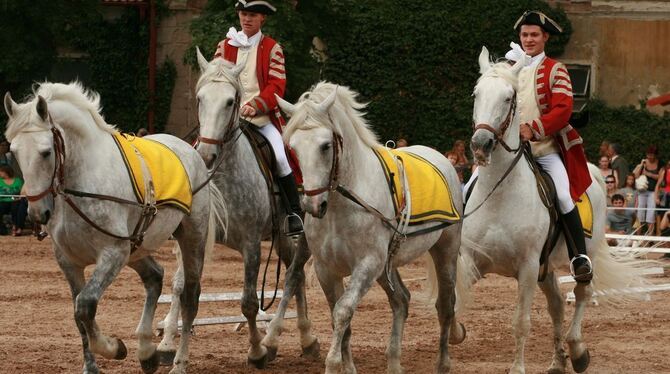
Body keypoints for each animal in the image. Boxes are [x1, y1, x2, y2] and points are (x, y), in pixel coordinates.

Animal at [2, 82, 223, 374]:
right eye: (14, 152)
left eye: (46, 152)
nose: (38, 214)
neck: (84, 182)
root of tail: (192, 152)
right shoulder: (69, 261)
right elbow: (78, 314)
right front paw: (92, 366)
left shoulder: (112, 253)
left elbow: (85, 305)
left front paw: (113, 348)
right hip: (136, 247)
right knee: (154, 277)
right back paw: (147, 352)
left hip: (190, 239)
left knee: (189, 298)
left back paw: (178, 363)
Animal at [280, 82, 464, 374]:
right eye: (293, 149)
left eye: (325, 146)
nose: (312, 205)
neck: (342, 207)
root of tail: (443, 160)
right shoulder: (326, 269)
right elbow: (339, 320)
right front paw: (347, 367)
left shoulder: (367, 263)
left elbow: (343, 312)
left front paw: (333, 364)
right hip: (388, 264)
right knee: (402, 300)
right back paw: (394, 363)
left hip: (445, 250)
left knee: (445, 305)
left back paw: (443, 363)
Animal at [454, 46, 652, 374]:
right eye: (476, 94)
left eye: (509, 98)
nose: (481, 144)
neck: (500, 194)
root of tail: (594, 172)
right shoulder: (472, 259)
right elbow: (453, 307)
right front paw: (454, 335)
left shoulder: (527, 267)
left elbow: (521, 323)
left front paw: (518, 368)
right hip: (545, 270)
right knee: (558, 305)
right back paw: (558, 360)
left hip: (583, 255)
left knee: (582, 293)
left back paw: (577, 351)